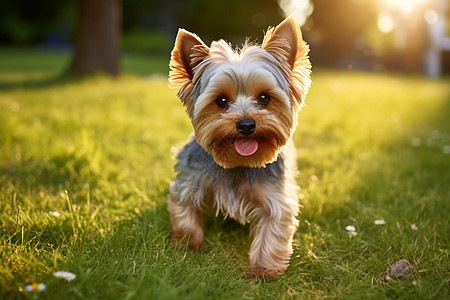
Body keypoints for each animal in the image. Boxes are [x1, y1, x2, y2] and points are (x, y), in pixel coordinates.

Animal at [167, 17, 312, 278]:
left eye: (264, 98)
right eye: (221, 101)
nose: (246, 125)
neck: (237, 162)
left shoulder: (275, 197)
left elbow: (272, 231)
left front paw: (263, 270)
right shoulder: (189, 181)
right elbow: (184, 210)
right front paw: (185, 243)